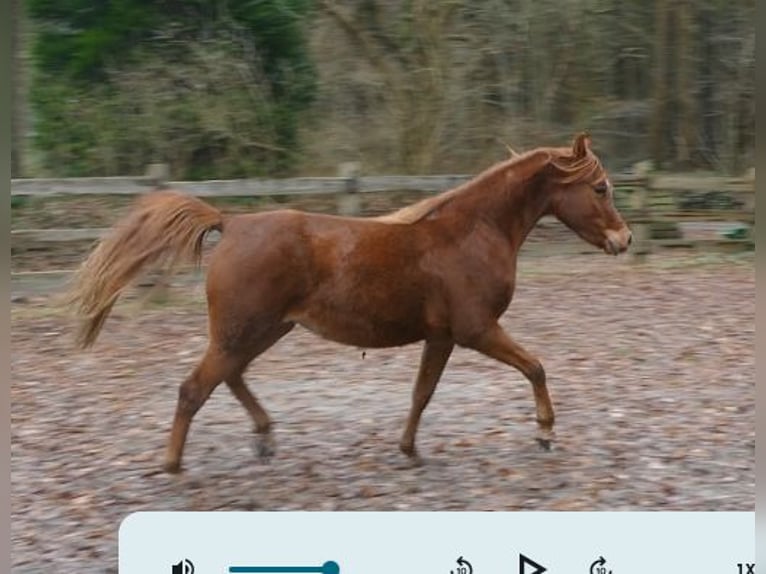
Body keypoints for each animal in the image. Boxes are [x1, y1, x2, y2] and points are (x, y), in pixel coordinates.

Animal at [68, 133, 632, 474]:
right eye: (600, 187)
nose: (624, 240)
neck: (470, 233)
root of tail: (232, 223)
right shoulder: (476, 330)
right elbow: (534, 366)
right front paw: (545, 433)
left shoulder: (442, 337)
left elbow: (421, 394)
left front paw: (408, 450)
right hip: (242, 331)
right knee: (194, 389)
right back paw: (174, 464)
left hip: (266, 330)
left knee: (229, 378)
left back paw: (265, 437)